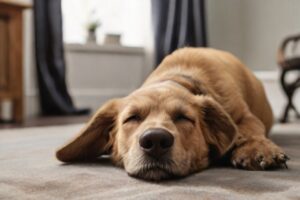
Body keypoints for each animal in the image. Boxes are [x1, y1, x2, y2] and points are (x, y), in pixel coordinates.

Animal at [55, 47, 288, 181]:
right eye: (132, 118)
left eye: (183, 117)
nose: (155, 141)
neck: (177, 77)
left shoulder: (245, 117)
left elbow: (248, 131)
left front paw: (257, 148)